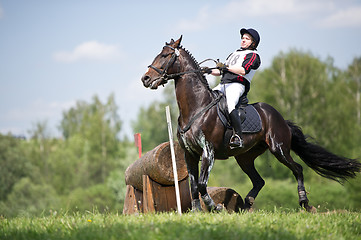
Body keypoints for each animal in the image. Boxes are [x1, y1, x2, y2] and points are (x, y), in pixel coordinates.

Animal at [139, 35, 358, 212]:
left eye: (165, 55)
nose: (146, 78)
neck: (195, 107)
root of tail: (280, 118)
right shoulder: (189, 153)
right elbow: (193, 186)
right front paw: (196, 211)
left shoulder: (208, 152)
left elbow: (201, 184)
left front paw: (216, 207)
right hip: (245, 157)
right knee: (259, 180)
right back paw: (246, 205)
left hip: (279, 148)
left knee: (298, 169)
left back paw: (304, 203)